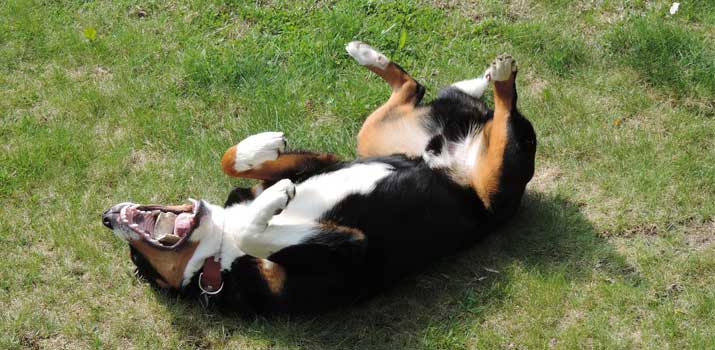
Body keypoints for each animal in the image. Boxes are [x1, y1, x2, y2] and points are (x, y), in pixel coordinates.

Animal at [100, 41, 536, 314]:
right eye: (139, 260)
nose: (107, 216)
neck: (218, 253)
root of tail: (450, 153)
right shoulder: (347, 249)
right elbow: (252, 229)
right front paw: (276, 198)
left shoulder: (320, 162)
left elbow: (232, 161)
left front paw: (262, 145)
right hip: (495, 186)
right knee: (502, 111)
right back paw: (498, 77)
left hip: (371, 137)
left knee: (419, 86)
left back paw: (374, 55)